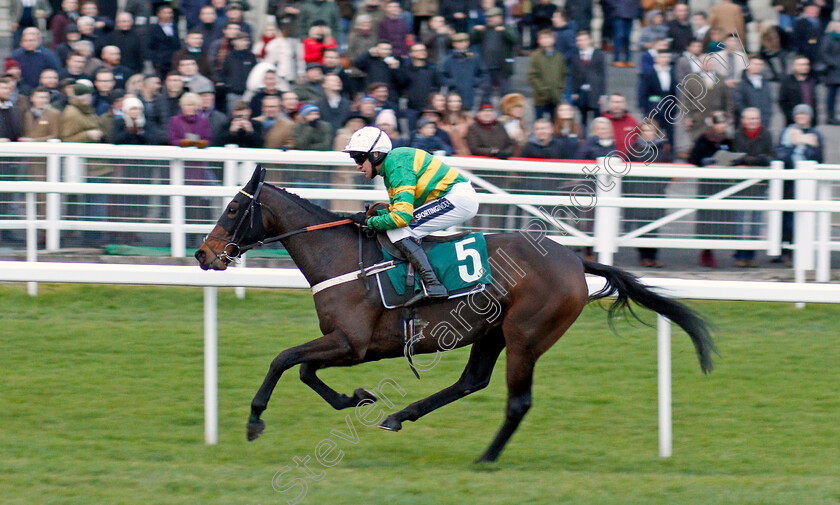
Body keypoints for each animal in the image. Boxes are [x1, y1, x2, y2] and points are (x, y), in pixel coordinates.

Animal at [197, 165, 716, 460]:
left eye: (232, 209)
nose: (204, 254)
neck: (340, 257)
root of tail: (573, 260)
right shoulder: (346, 344)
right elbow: (304, 370)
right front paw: (359, 399)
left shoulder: (352, 343)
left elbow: (284, 359)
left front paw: (255, 420)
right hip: (491, 331)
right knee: (471, 382)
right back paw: (399, 416)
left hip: (526, 335)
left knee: (517, 401)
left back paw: (486, 457)